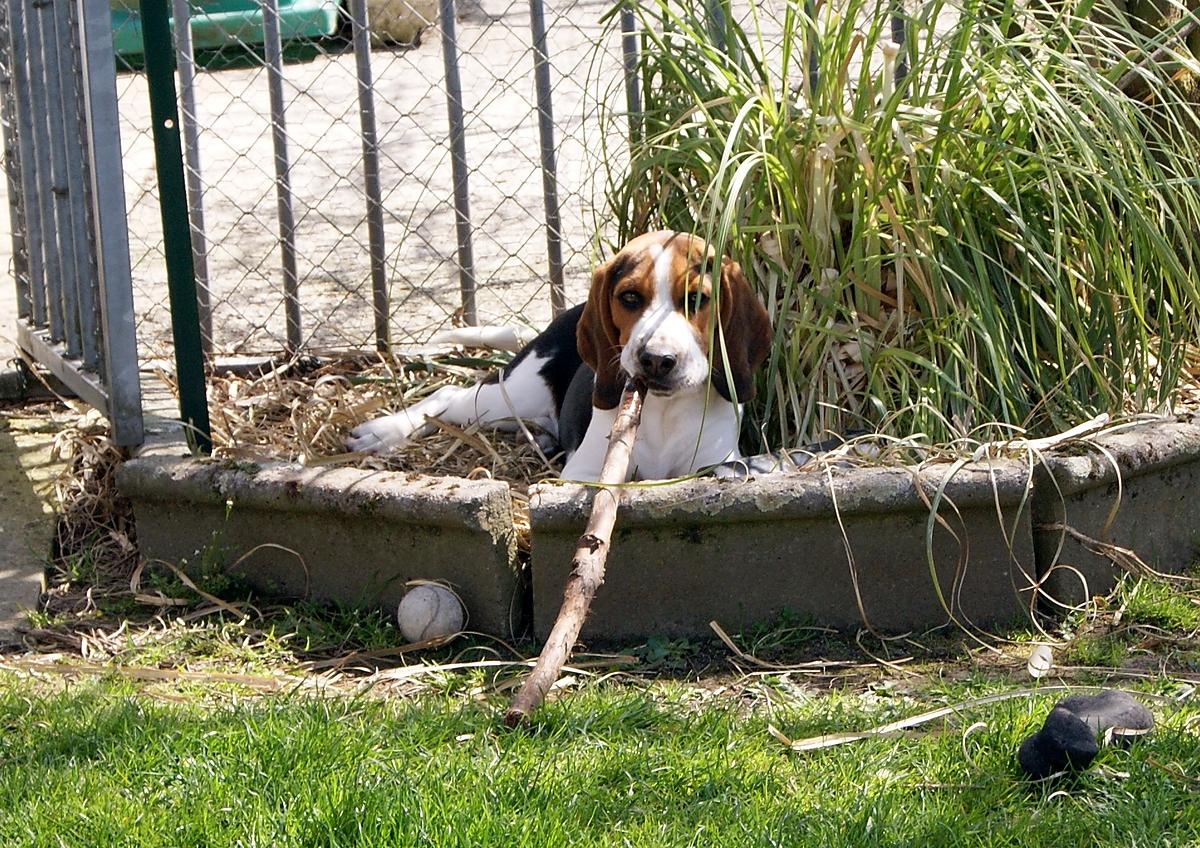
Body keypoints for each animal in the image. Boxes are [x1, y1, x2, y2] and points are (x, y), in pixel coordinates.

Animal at [348, 230, 772, 484]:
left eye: (697, 299)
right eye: (629, 297)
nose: (656, 360)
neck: (663, 415)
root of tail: (566, 314)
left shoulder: (717, 462)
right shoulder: (584, 471)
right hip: (511, 394)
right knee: (448, 396)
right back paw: (382, 431)